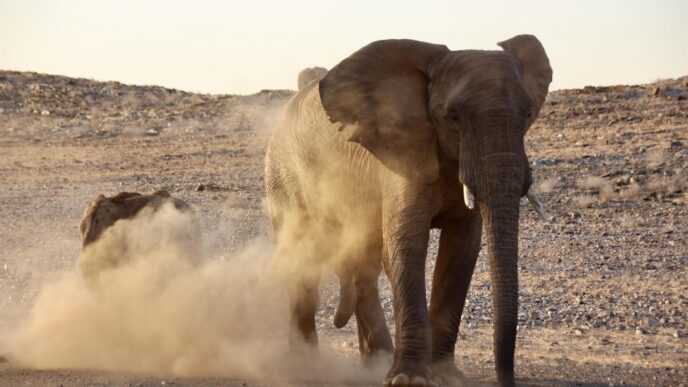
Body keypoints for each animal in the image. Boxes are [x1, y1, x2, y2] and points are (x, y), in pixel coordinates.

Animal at [264, 34, 552, 387]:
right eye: (452, 116)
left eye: (527, 114)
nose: (508, 380)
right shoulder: (399, 156)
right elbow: (406, 244)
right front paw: (410, 380)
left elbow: (461, 249)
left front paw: (445, 375)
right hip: (283, 173)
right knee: (302, 251)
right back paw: (305, 364)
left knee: (364, 263)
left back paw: (376, 361)